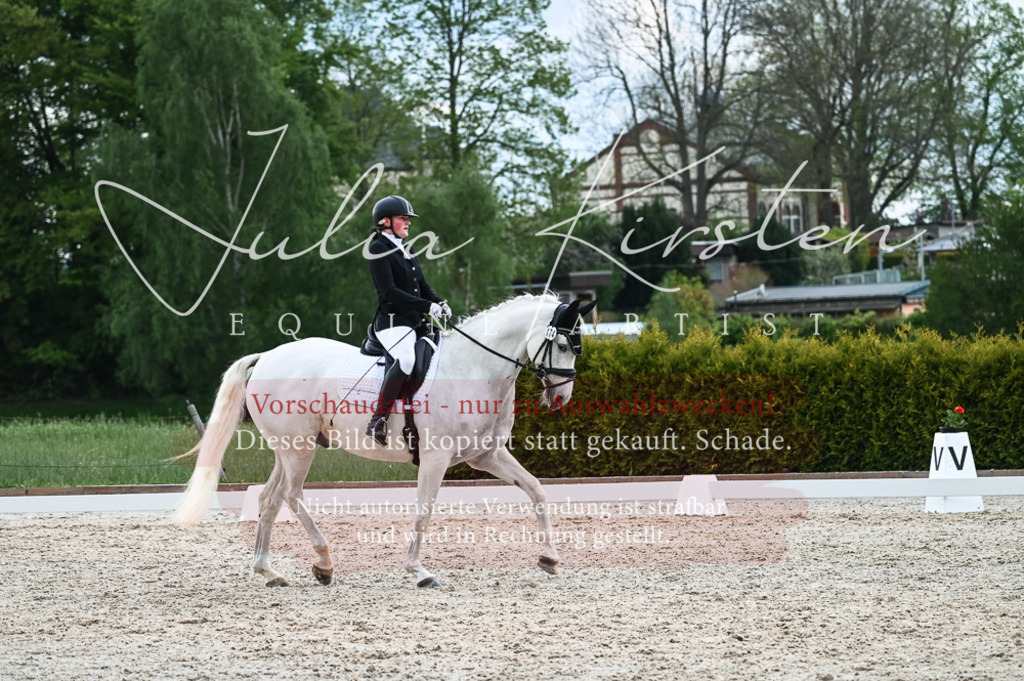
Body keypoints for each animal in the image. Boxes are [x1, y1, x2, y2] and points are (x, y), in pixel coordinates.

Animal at [174, 294, 597, 588]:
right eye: (562, 345)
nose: (561, 398)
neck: (473, 368)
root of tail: (266, 358)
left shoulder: (486, 456)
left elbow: (537, 490)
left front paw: (549, 559)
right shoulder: (436, 458)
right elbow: (424, 511)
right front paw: (419, 571)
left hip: (290, 448)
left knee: (270, 498)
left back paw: (269, 571)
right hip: (299, 449)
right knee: (292, 496)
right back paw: (323, 562)